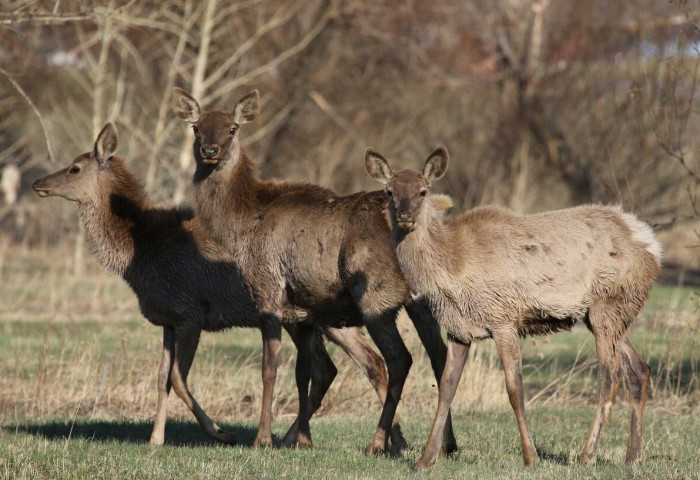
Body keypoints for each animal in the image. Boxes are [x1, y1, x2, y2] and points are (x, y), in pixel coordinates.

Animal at [32, 122, 400, 448]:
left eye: (75, 168)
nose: (37, 183)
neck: (140, 256)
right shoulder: (167, 320)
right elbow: (161, 379)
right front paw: (155, 440)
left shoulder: (190, 312)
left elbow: (178, 378)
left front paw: (220, 432)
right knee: (341, 367)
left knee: (366, 362)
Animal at [172, 89, 456, 454]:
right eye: (196, 127)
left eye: (232, 128)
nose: (210, 150)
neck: (242, 225)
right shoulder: (304, 312)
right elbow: (304, 373)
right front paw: (302, 439)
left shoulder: (267, 290)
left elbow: (270, 368)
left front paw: (263, 439)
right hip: (419, 302)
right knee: (439, 356)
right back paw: (446, 444)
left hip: (376, 298)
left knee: (399, 359)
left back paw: (378, 443)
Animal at [366, 145, 660, 468]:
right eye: (390, 191)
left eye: (422, 191)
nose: (404, 216)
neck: (451, 267)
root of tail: (651, 245)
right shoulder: (459, 328)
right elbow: (446, 388)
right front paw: (425, 460)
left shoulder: (503, 317)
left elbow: (514, 388)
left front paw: (531, 457)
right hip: (611, 313)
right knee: (639, 369)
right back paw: (633, 456)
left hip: (606, 306)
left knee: (611, 374)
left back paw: (587, 455)